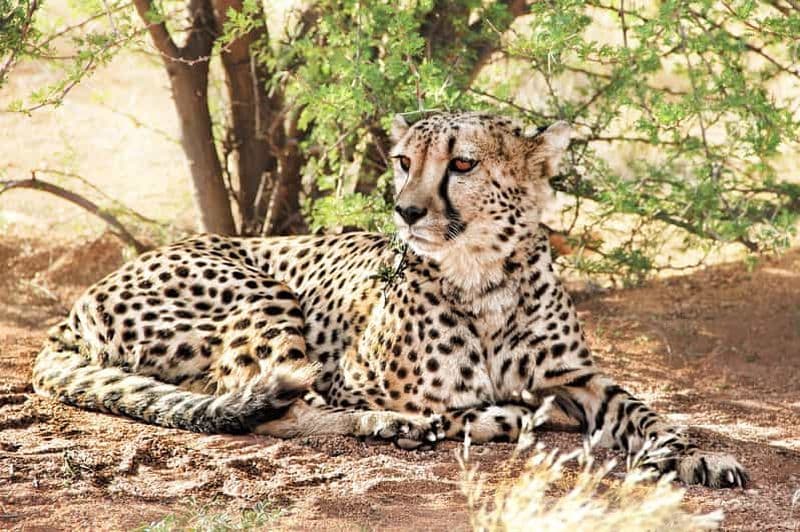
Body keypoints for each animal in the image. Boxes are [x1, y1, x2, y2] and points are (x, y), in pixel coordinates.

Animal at [32, 112, 747, 488]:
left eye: (462, 164)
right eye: (405, 161)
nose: (405, 210)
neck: (483, 275)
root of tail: (74, 309)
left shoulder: (577, 377)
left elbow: (644, 413)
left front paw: (696, 455)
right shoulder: (346, 376)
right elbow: (445, 405)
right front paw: (469, 417)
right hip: (261, 293)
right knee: (264, 405)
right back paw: (405, 426)